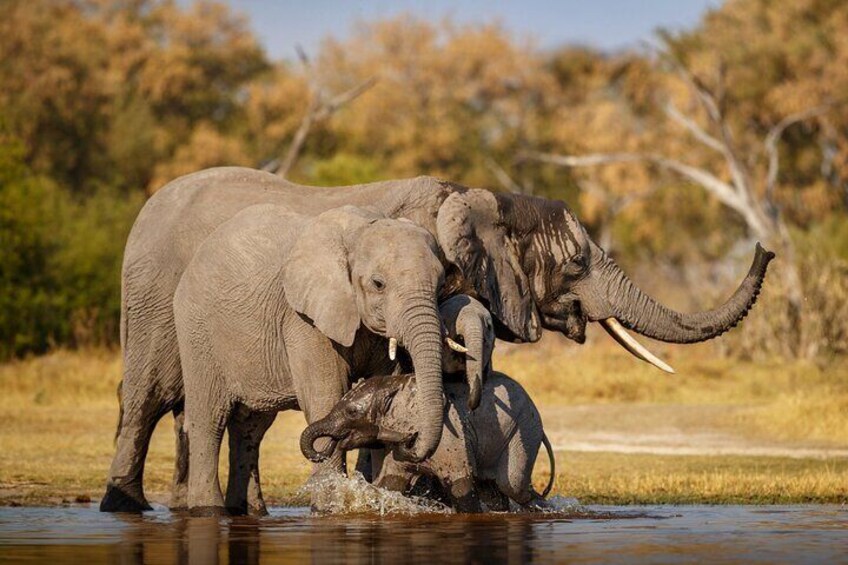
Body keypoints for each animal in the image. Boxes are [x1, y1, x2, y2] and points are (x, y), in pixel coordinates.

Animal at [172, 204, 450, 514]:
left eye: (441, 285)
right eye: (378, 284)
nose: (411, 442)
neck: (357, 232)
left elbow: (384, 387)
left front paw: (383, 499)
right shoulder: (303, 320)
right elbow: (325, 394)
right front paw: (330, 507)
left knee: (250, 428)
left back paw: (250, 511)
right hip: (197, 330)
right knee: (209, 419)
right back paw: (208, 511)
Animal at [301, 371, 555, 513]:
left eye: (352, 412)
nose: (332, 444)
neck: (395, 384)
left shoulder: (450, 437)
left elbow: (461, 486)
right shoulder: (398, 446)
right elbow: (391, 484)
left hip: (525, 429)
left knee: (512, 485)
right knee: (493, 489)